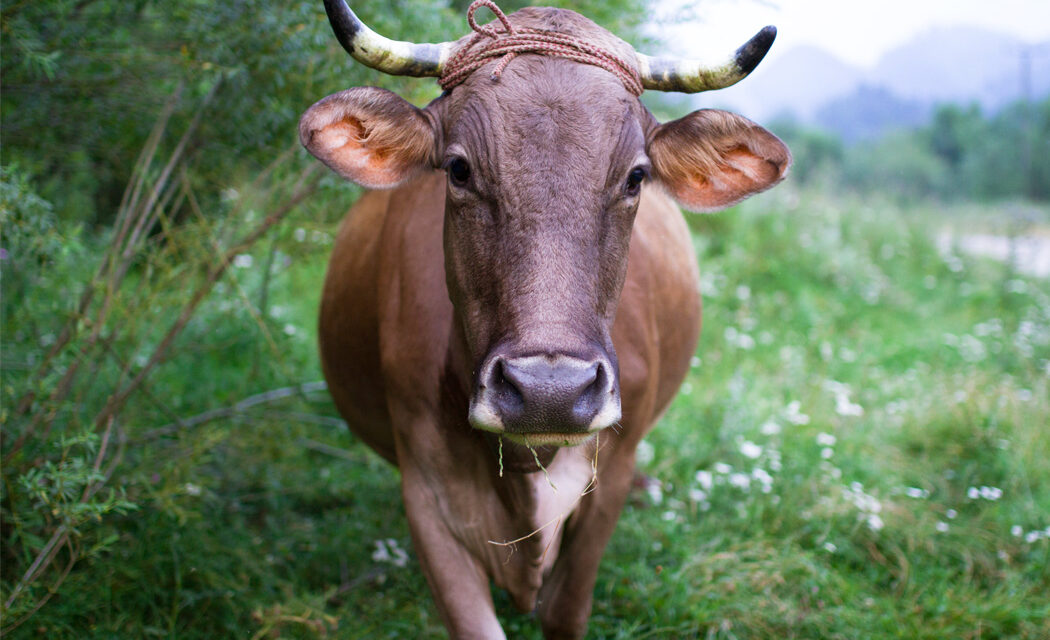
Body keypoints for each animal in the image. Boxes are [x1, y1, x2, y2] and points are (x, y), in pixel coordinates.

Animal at [299, 1, 790, 637]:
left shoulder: (606, 483)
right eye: (457, 169)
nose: (548, 392)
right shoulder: (428, 494)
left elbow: (564, 610)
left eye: (636, 177)